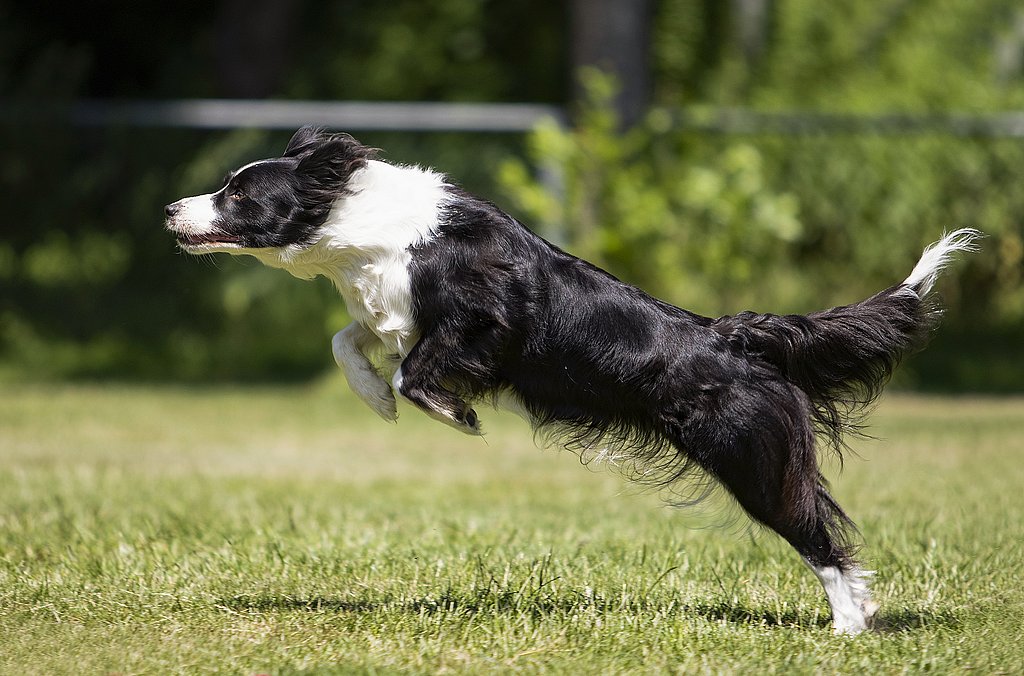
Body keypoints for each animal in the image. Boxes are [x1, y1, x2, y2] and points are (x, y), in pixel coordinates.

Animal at [165, 126, 979, 634]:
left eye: (238, 195)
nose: (173, 208)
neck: (361, 227)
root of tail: (733, 336)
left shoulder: (486, 317)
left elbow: (417, 369)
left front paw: (452, 414)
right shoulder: (390, 310)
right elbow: (350, 342)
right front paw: (380, 399)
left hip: (749, 450)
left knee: (817, 530)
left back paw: (847, 628)